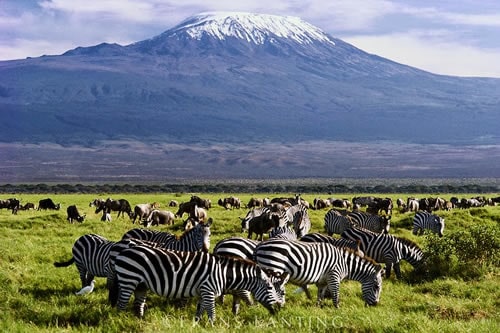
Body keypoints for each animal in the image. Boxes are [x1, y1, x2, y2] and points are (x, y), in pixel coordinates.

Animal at [109, 244, 290, 322]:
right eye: (270, 288)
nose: (278, 311)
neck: (224, 274)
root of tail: (123, 251)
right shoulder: (208, 290)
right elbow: (211, 313)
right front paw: (213, 326)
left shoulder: (203, 292)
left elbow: (200, 310)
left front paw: (196, 324)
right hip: (128, 279)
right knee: (121, 304)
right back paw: (119, 321)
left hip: (141, 285)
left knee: (138, 304)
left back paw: (140, 322)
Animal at [254, 239, 382, 306]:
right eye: (376, 287)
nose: (375, 304)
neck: (345, 264)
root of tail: (261, 245)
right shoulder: (334, 275)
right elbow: (336, 295)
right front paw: (337, 310)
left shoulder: (323, 281)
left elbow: (320, 295)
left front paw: (318, 308)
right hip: (273, 267)